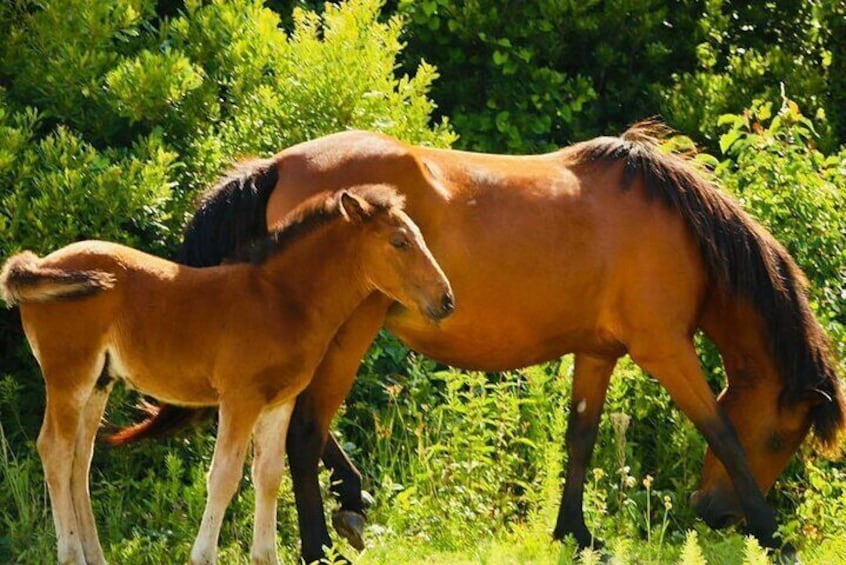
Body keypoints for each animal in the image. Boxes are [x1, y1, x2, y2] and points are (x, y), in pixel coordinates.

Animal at [116, 122, 844, 560]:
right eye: (781, 438)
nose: (712, 512)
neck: (673, 226)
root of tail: (275, 164)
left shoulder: (598, 351)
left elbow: (580, 437)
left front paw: (575, 532)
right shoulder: (664, 347)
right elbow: (719, 429)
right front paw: (774, 534)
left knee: (306, 430)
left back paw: (351, 502)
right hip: (348, 330)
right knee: (305, 430)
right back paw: (322, 539)